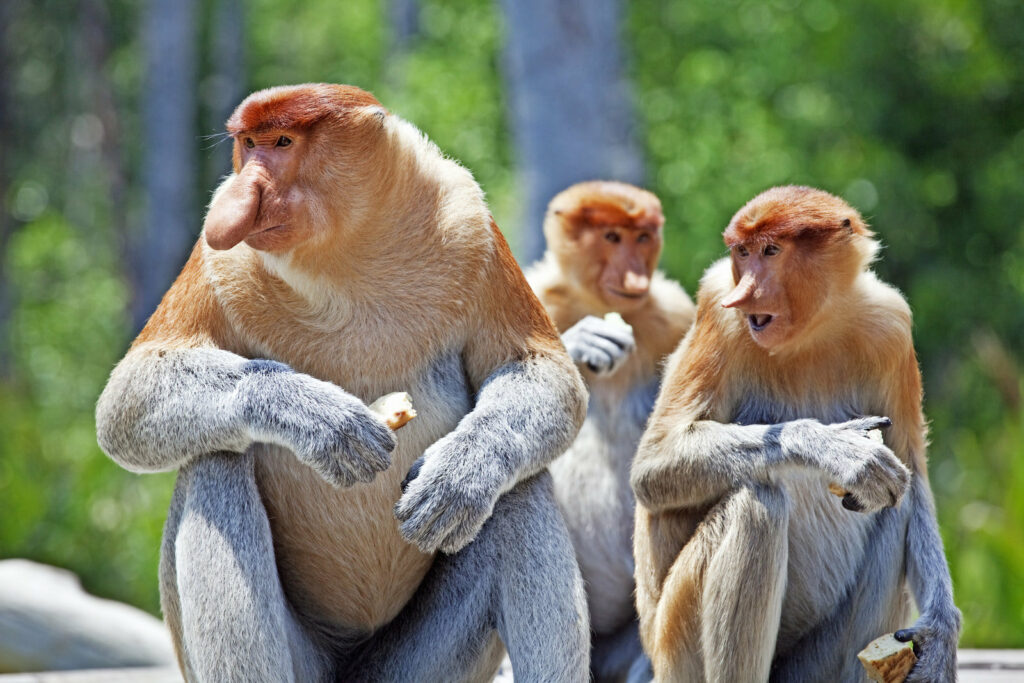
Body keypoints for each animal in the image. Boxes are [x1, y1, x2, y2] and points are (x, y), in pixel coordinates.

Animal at [97, 85, 593, 683]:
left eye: (282, 143)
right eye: (248, 144)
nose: (242, 194)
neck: (343, 253)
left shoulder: (471, 224)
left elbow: (537, 369)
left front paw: (459, 477)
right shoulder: (218, 261)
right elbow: (128, 396)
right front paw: (324, 421)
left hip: (416, 667)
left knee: (522, 487)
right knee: (214, 465)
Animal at [630, 187, 958, 683]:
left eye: (771, 251)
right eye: (742, 253)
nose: (744, 296)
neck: (814, 328)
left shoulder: (893, 327)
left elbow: (912, 478)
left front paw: (940, 636)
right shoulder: (718, 310)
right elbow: (652, 466)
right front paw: (833, 446)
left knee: (894, 509)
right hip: (674, 641)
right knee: (757, 504)